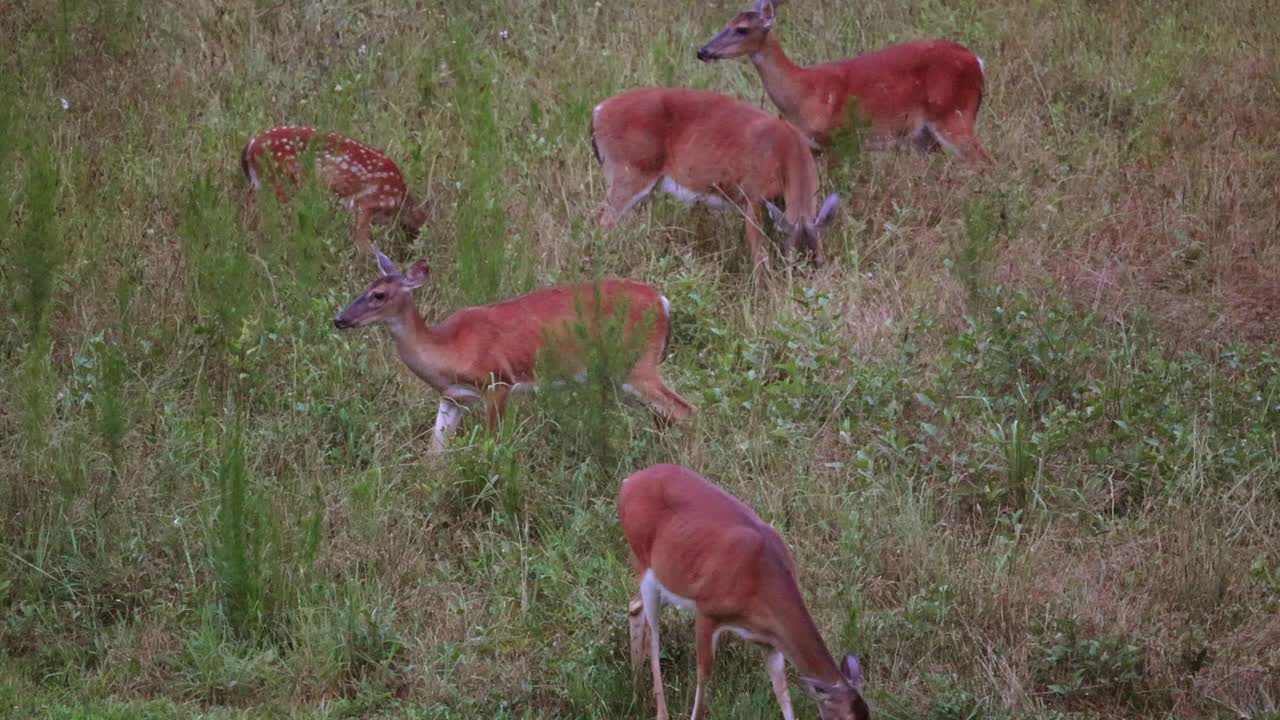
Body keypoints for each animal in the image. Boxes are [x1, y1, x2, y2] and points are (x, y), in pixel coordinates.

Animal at [330, 248, 691, 448]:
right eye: (365, 287)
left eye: (379, 295)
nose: (340, 319)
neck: (449, 348)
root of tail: (664, 302)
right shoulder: (452, 396)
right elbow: (434, 451)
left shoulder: (498, 381)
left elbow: (493, 443)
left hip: (639, 364)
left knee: (684, 410)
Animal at [588, 87, 839, 280]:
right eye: (792, 259)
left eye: (819, 260)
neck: (786, 150)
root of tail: (597, 111)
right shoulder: (751, 195)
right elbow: (760, 255)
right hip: (628, 172)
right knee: (602, 222)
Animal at [619, 458, 870, 717]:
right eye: (844, 717)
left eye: (868, 714)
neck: (760, 579)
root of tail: (628, 483)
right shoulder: (707, 611)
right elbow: (703, 677)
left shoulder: (769, 641)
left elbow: (782, 692)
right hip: (645, 565)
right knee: (654, 637)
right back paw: (660, 711)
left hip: (669, 581)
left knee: (635, 606)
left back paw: (636, 687)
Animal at [701, 0, 988, 163]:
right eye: (727, 23)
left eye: (742, 29)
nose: (702, 51)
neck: (803, 92)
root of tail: (977, 62)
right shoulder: (812, 147)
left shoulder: (838, 139)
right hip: (924, 135)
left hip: (954, 114)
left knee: (984, 163)